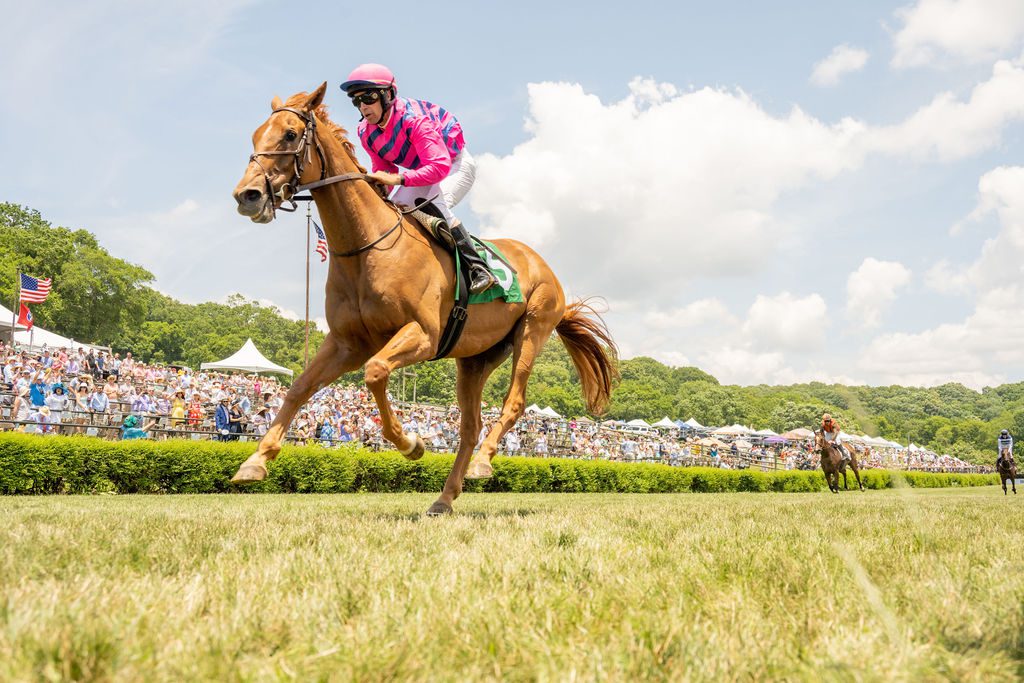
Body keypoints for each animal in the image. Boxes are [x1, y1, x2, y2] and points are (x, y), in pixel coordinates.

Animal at [230, 83, 614, 511]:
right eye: (255, 136)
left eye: (290, 135)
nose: (247, 195)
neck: (367, 248)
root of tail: (542, 265)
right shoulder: (348, 343)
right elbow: (299, 387)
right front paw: (255, 461)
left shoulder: (423, 336)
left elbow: (376, 372)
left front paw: (411, 444)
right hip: (475, 359)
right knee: (469, 427)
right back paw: (445, 497)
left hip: (532, 330)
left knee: (512, 403)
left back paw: (483, 462)